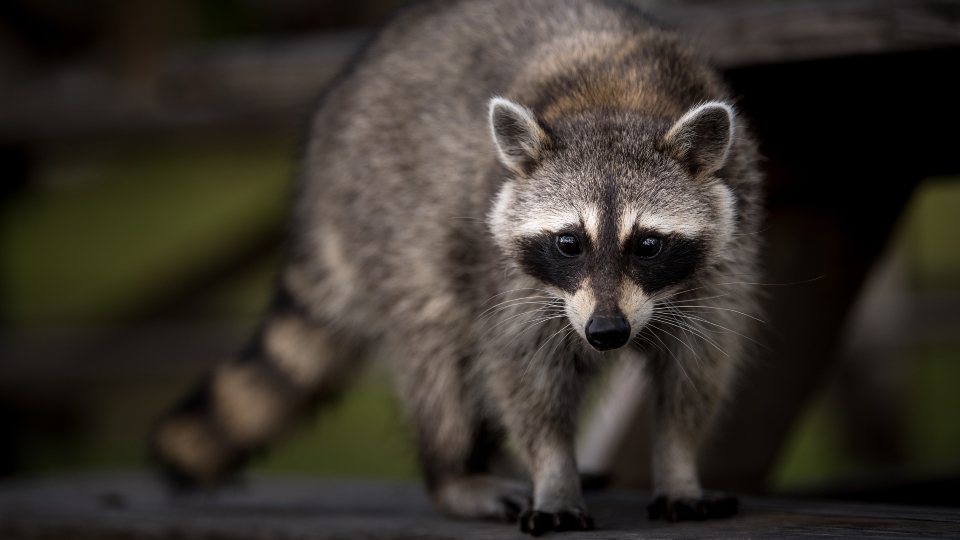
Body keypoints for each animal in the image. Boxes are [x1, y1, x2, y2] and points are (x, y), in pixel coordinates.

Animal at [152, 0, 763, 534]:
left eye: (648, 245)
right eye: (569, 243)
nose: (607, 332)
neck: (617, 101)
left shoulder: (726, 255)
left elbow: (696, 372)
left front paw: (679, 466)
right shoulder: (505, 273)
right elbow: (524, 373)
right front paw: (552, 474)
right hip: (387, 220)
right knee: (440, 353)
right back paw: (455, 474)